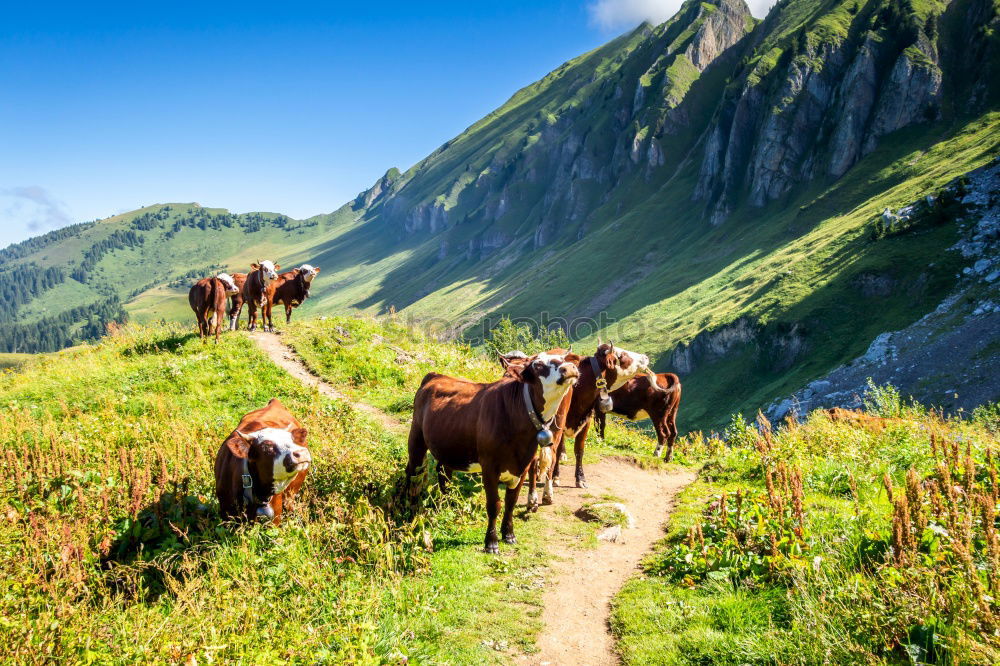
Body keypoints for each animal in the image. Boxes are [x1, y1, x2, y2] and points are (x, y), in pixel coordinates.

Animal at [404, 350, 580, 552]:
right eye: (537, 365)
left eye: (564, 359)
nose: (569, 368)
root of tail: (436, 375)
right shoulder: (489, 466)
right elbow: (494, 504)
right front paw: (491, 542)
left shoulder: (523, 465)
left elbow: (511, 502)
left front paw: (509, 534)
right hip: (416, 438)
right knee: (412, 472)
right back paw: (409, 508)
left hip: (447, 443)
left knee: (443, 473)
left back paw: (447, 505)